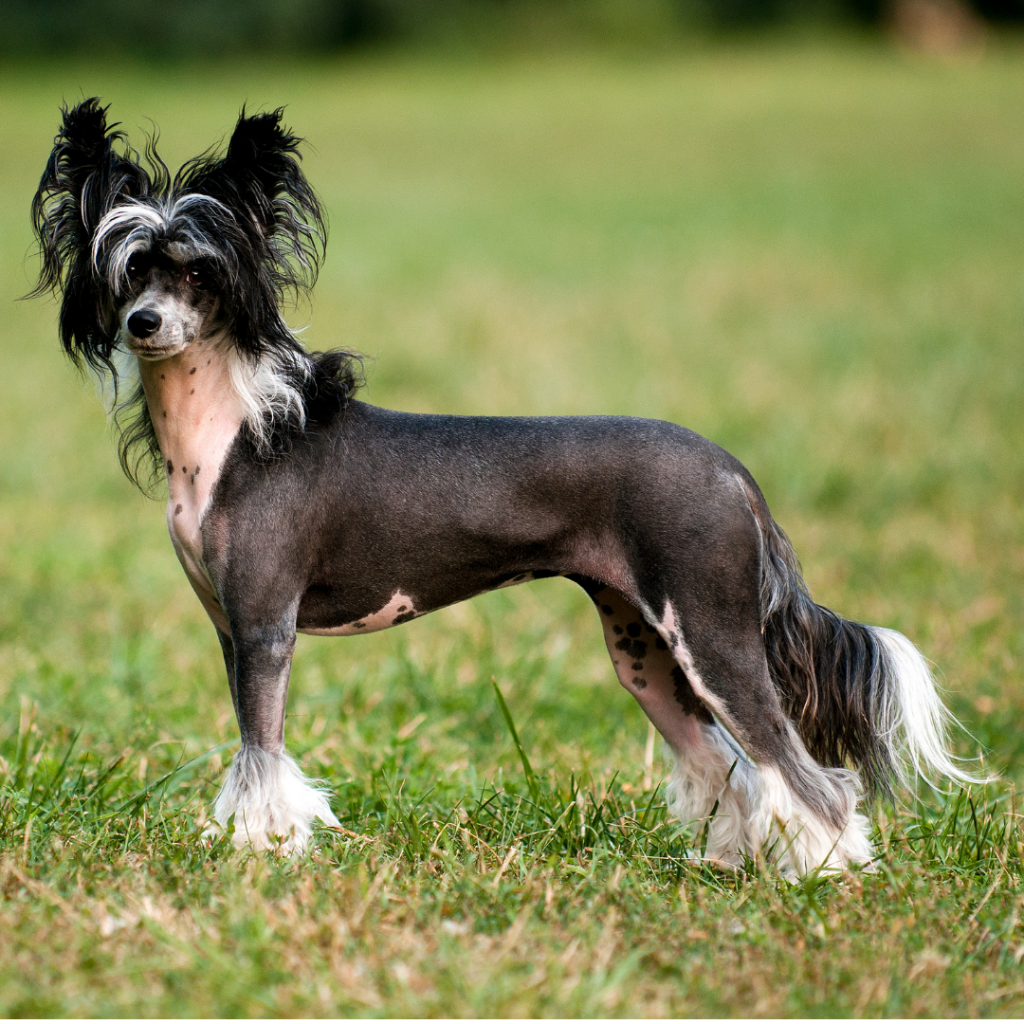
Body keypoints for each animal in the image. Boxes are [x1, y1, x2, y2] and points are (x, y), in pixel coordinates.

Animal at [29, 101, 974, 872]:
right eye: (129, 271)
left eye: (200, 273)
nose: (144, 323)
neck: (234, 432)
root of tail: (732, 471)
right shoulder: (232, 632)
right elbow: (247, 744)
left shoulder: (266, 630)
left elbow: (263, 757)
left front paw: (260, 853)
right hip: (645, 652)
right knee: (724, 765)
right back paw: (730, 863)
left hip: (713, 635)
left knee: (802, 770)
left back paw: (829, 871)